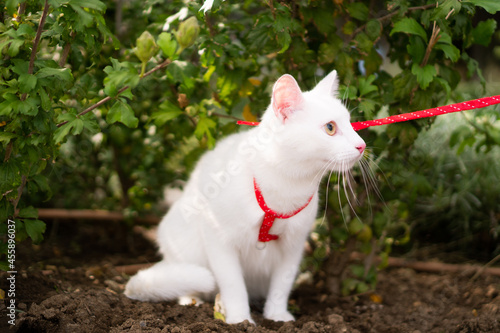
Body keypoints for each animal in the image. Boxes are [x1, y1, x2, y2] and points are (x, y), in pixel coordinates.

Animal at [125, 69, 368, 322]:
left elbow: (281, 285)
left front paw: (277, 316)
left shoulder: (293, 246)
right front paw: (240, 320)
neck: (287, 186)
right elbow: (233, 285)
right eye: (330, 127)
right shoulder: (217, 237)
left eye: (351, 124)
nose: (362, 145)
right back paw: (191, 301)